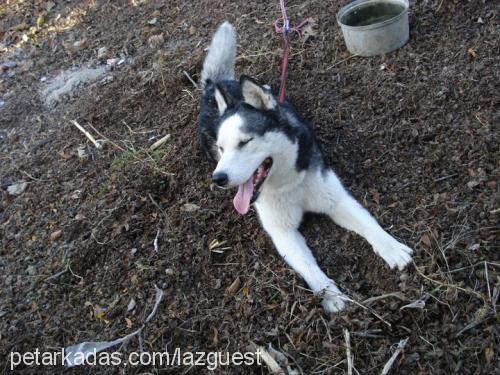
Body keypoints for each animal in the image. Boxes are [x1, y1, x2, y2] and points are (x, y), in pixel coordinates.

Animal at [197, 22, 412, 312]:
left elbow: (368, 223)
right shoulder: (283, 232)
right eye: (222, 148)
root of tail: (214, 86)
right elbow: (309, 267)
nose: (218, 178)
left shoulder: (335, 199)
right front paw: (331, 295)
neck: (290, 183)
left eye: (245, 142)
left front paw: (391, 247)